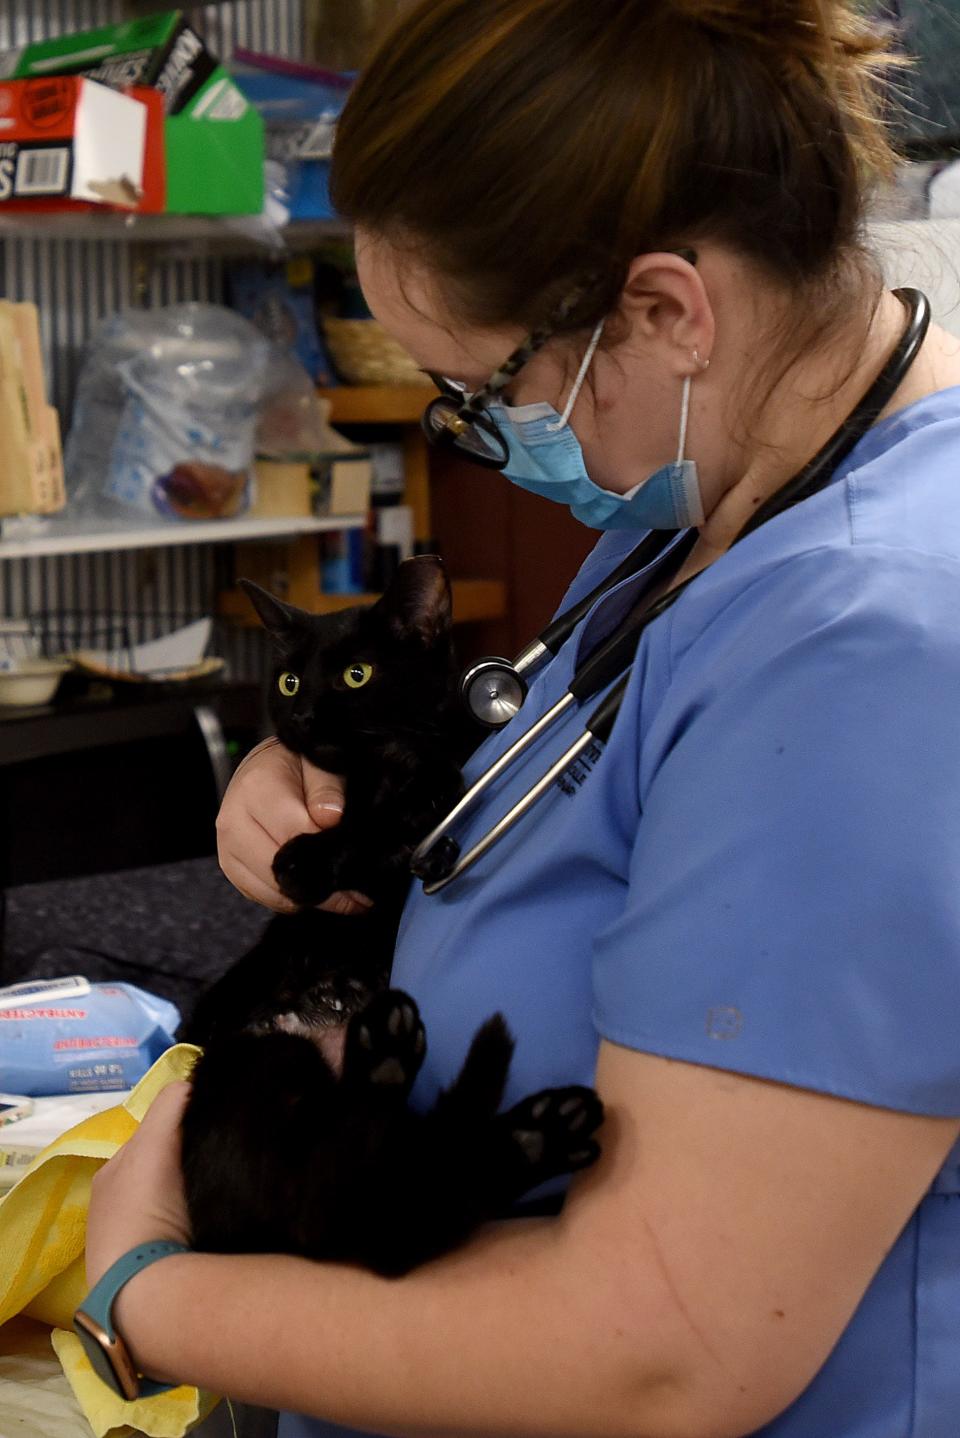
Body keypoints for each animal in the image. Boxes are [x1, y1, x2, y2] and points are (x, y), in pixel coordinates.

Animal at [178, 555, 600, 1276]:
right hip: (254, 1065)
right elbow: (350, 843)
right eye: (289, 680)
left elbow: (410, 810)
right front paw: (323, 853)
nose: (304, 713)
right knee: (348, 1212)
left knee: (385, 1208)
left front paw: (401, 827)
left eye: (357, 674)